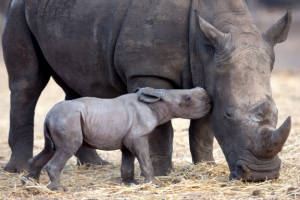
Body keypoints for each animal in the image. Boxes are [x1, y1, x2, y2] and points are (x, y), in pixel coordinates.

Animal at [21, 87, 211, 191]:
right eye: (188, 98)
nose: (209, 101)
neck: (157, 103)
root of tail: (49, 113)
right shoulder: (138, 136)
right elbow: (145, 159)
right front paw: (155, 185)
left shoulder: (129, 138)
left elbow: (128, 162)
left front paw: (131, 184)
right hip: (68, 119)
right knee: (67, 148)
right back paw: (59, 189)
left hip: (60, 119)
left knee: (49, 148)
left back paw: (31, 184)